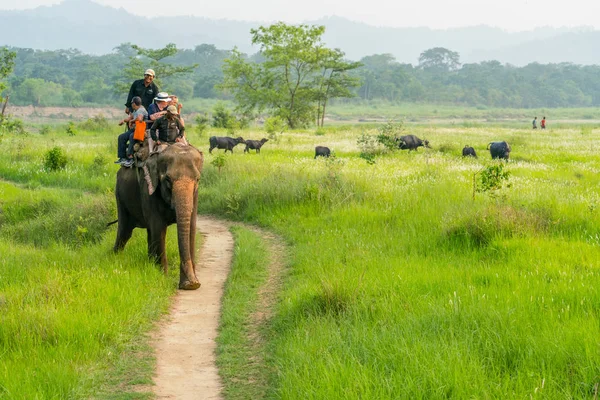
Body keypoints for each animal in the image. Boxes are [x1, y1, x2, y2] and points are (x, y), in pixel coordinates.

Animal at [113, 142, 205, 290]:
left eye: (197, 179)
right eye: (167, 179)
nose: (192, 284)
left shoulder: (195, 194)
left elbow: (191, 228)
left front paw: (191, 283)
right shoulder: (148, 187)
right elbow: (159, 228)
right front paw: (164, 278)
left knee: (148, 233)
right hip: (119, 194)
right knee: (125, 231)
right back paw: (115, 258)